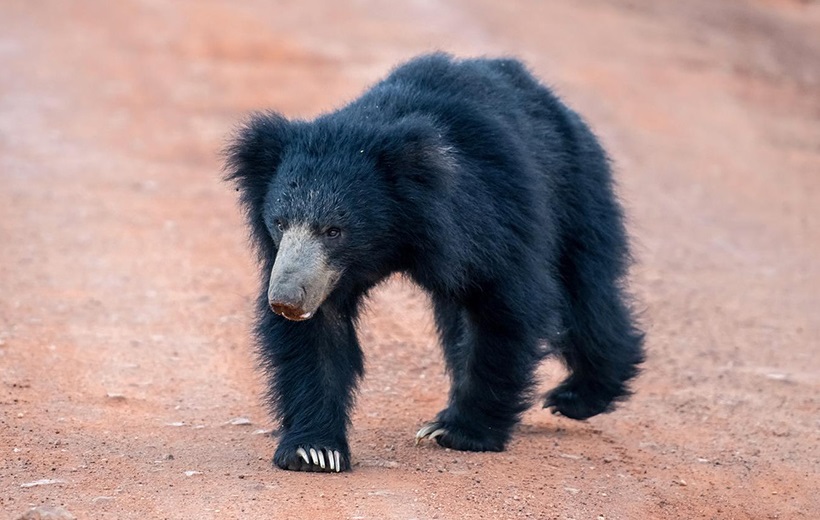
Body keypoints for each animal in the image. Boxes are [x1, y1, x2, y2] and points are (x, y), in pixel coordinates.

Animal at [226, 54, 648, 474]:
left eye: (334, 231)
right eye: (279, 223)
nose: (285, 300)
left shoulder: (488, 217)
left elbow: (503, 306)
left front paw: (461, 432)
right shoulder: (323, 275)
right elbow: (318, 334)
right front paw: (313, 451)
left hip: (575, 188)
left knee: (585, 290)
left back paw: (577, 396)